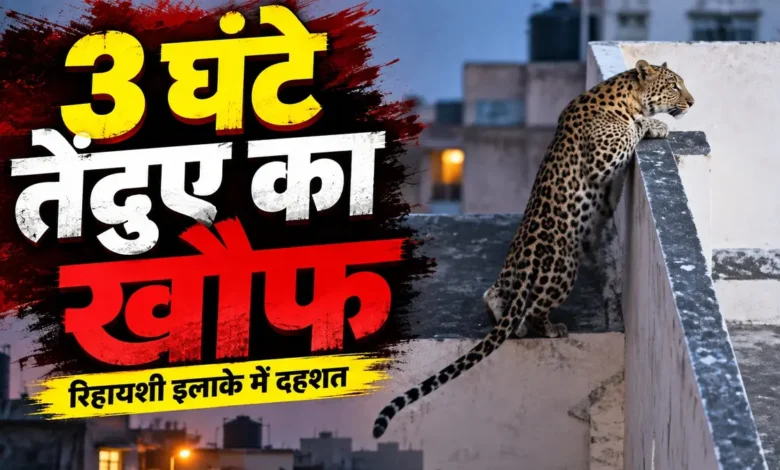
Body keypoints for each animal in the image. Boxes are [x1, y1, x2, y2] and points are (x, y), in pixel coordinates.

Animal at [372, 60, 694, 439]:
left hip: (509, 281)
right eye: (674, 86)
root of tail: (524, 267)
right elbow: (632, 130)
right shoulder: (603, 154)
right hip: (563, 270)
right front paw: (654, 125)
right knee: (534, 310)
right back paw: (547, 327)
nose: (691, 102)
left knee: (494, 296)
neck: (625, 97)